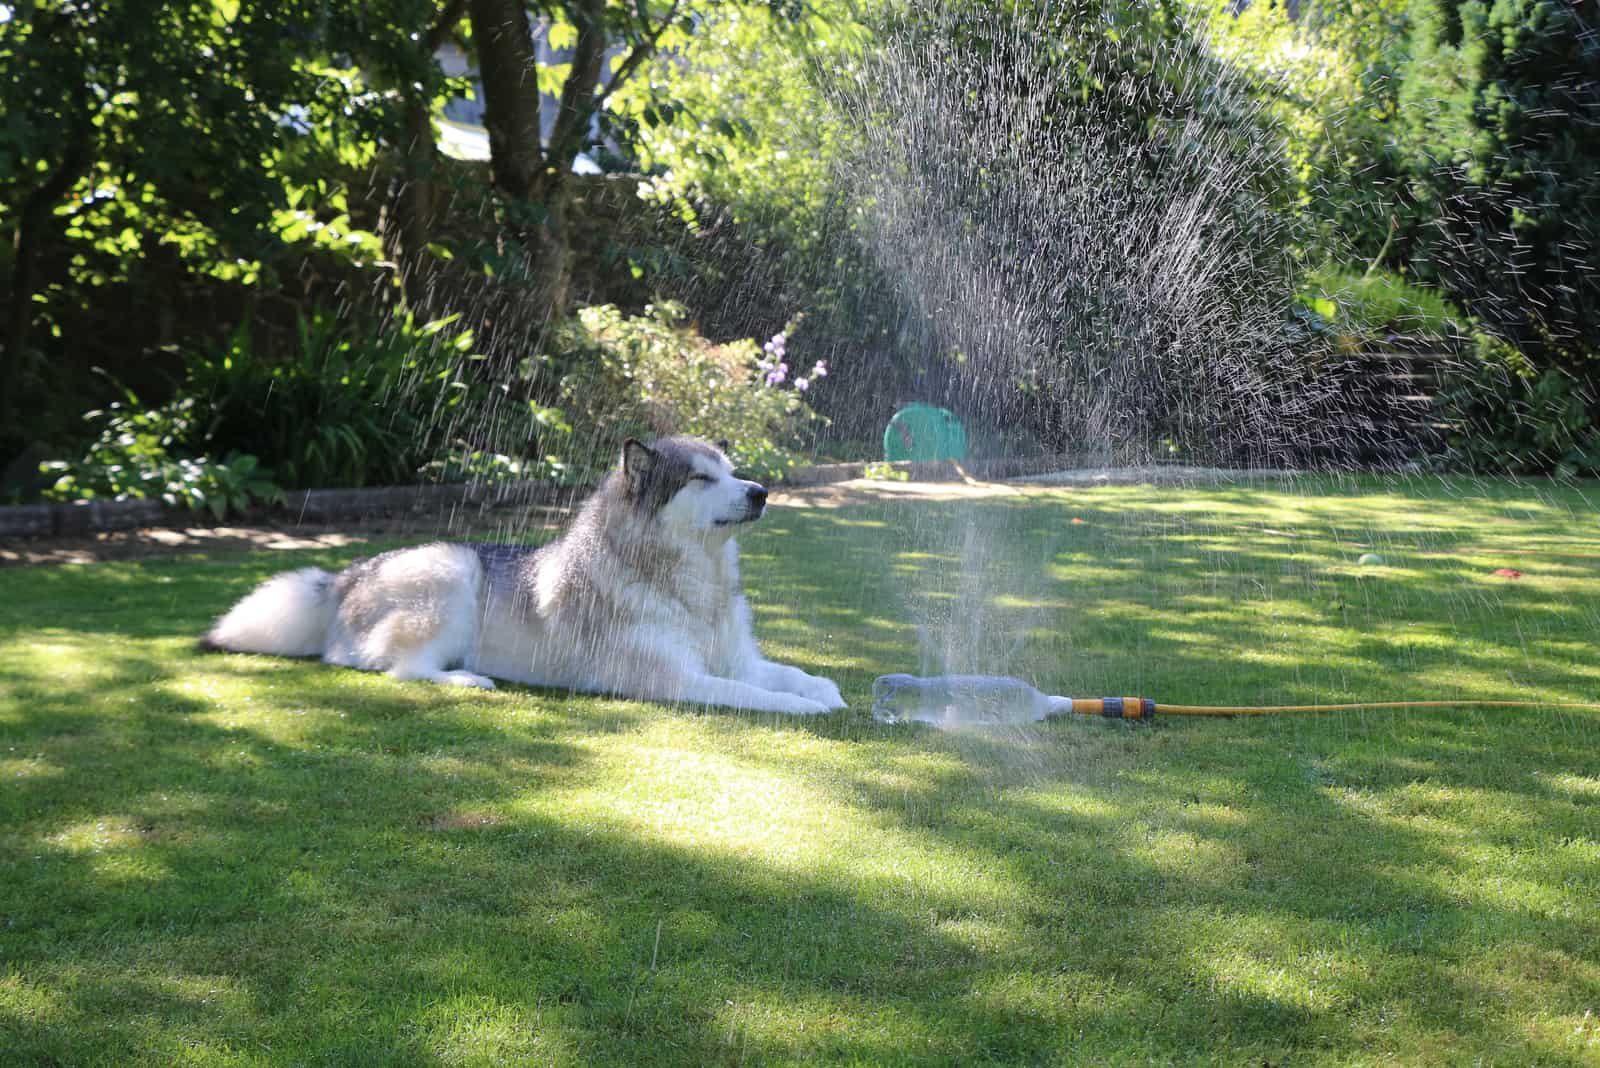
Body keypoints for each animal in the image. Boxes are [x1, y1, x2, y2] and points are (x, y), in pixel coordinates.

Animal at [203, 434, 851, 716]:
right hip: (454, 571)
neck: (692, 585)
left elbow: (791, 673)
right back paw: (468, 679)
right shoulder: (674, 680)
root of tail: (350, 571)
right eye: (699, 478)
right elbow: (750, 695)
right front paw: (806, 709)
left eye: (733, 471)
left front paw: (826, 691)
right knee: (400, 669)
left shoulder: (737, 657)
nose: (761, 492)